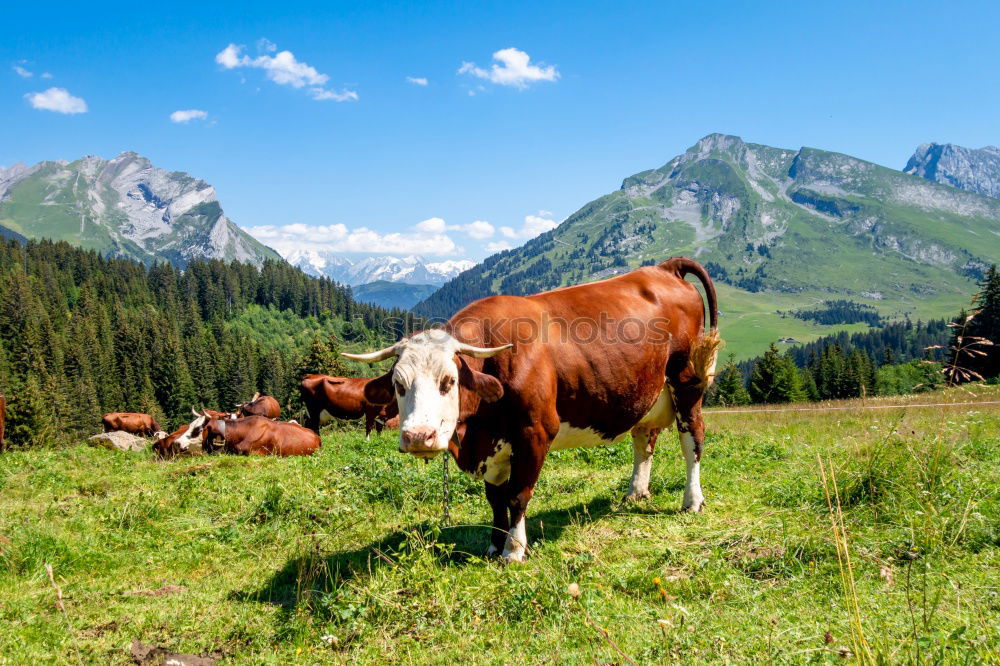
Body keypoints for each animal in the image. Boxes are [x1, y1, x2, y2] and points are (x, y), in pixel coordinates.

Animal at [348, 256, 724, 556]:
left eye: (449, 381)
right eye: (399, 385)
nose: (418, 437)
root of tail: (664, 268)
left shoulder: (534, 433)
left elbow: (517, 496)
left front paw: (513, 550)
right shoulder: (494, 444)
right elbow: (495, 499)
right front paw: (493, 544)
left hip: (687, 384)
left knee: (692, 441)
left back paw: (692, 501)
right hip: (644, 392)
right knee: (644, 440)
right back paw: (635, 493)